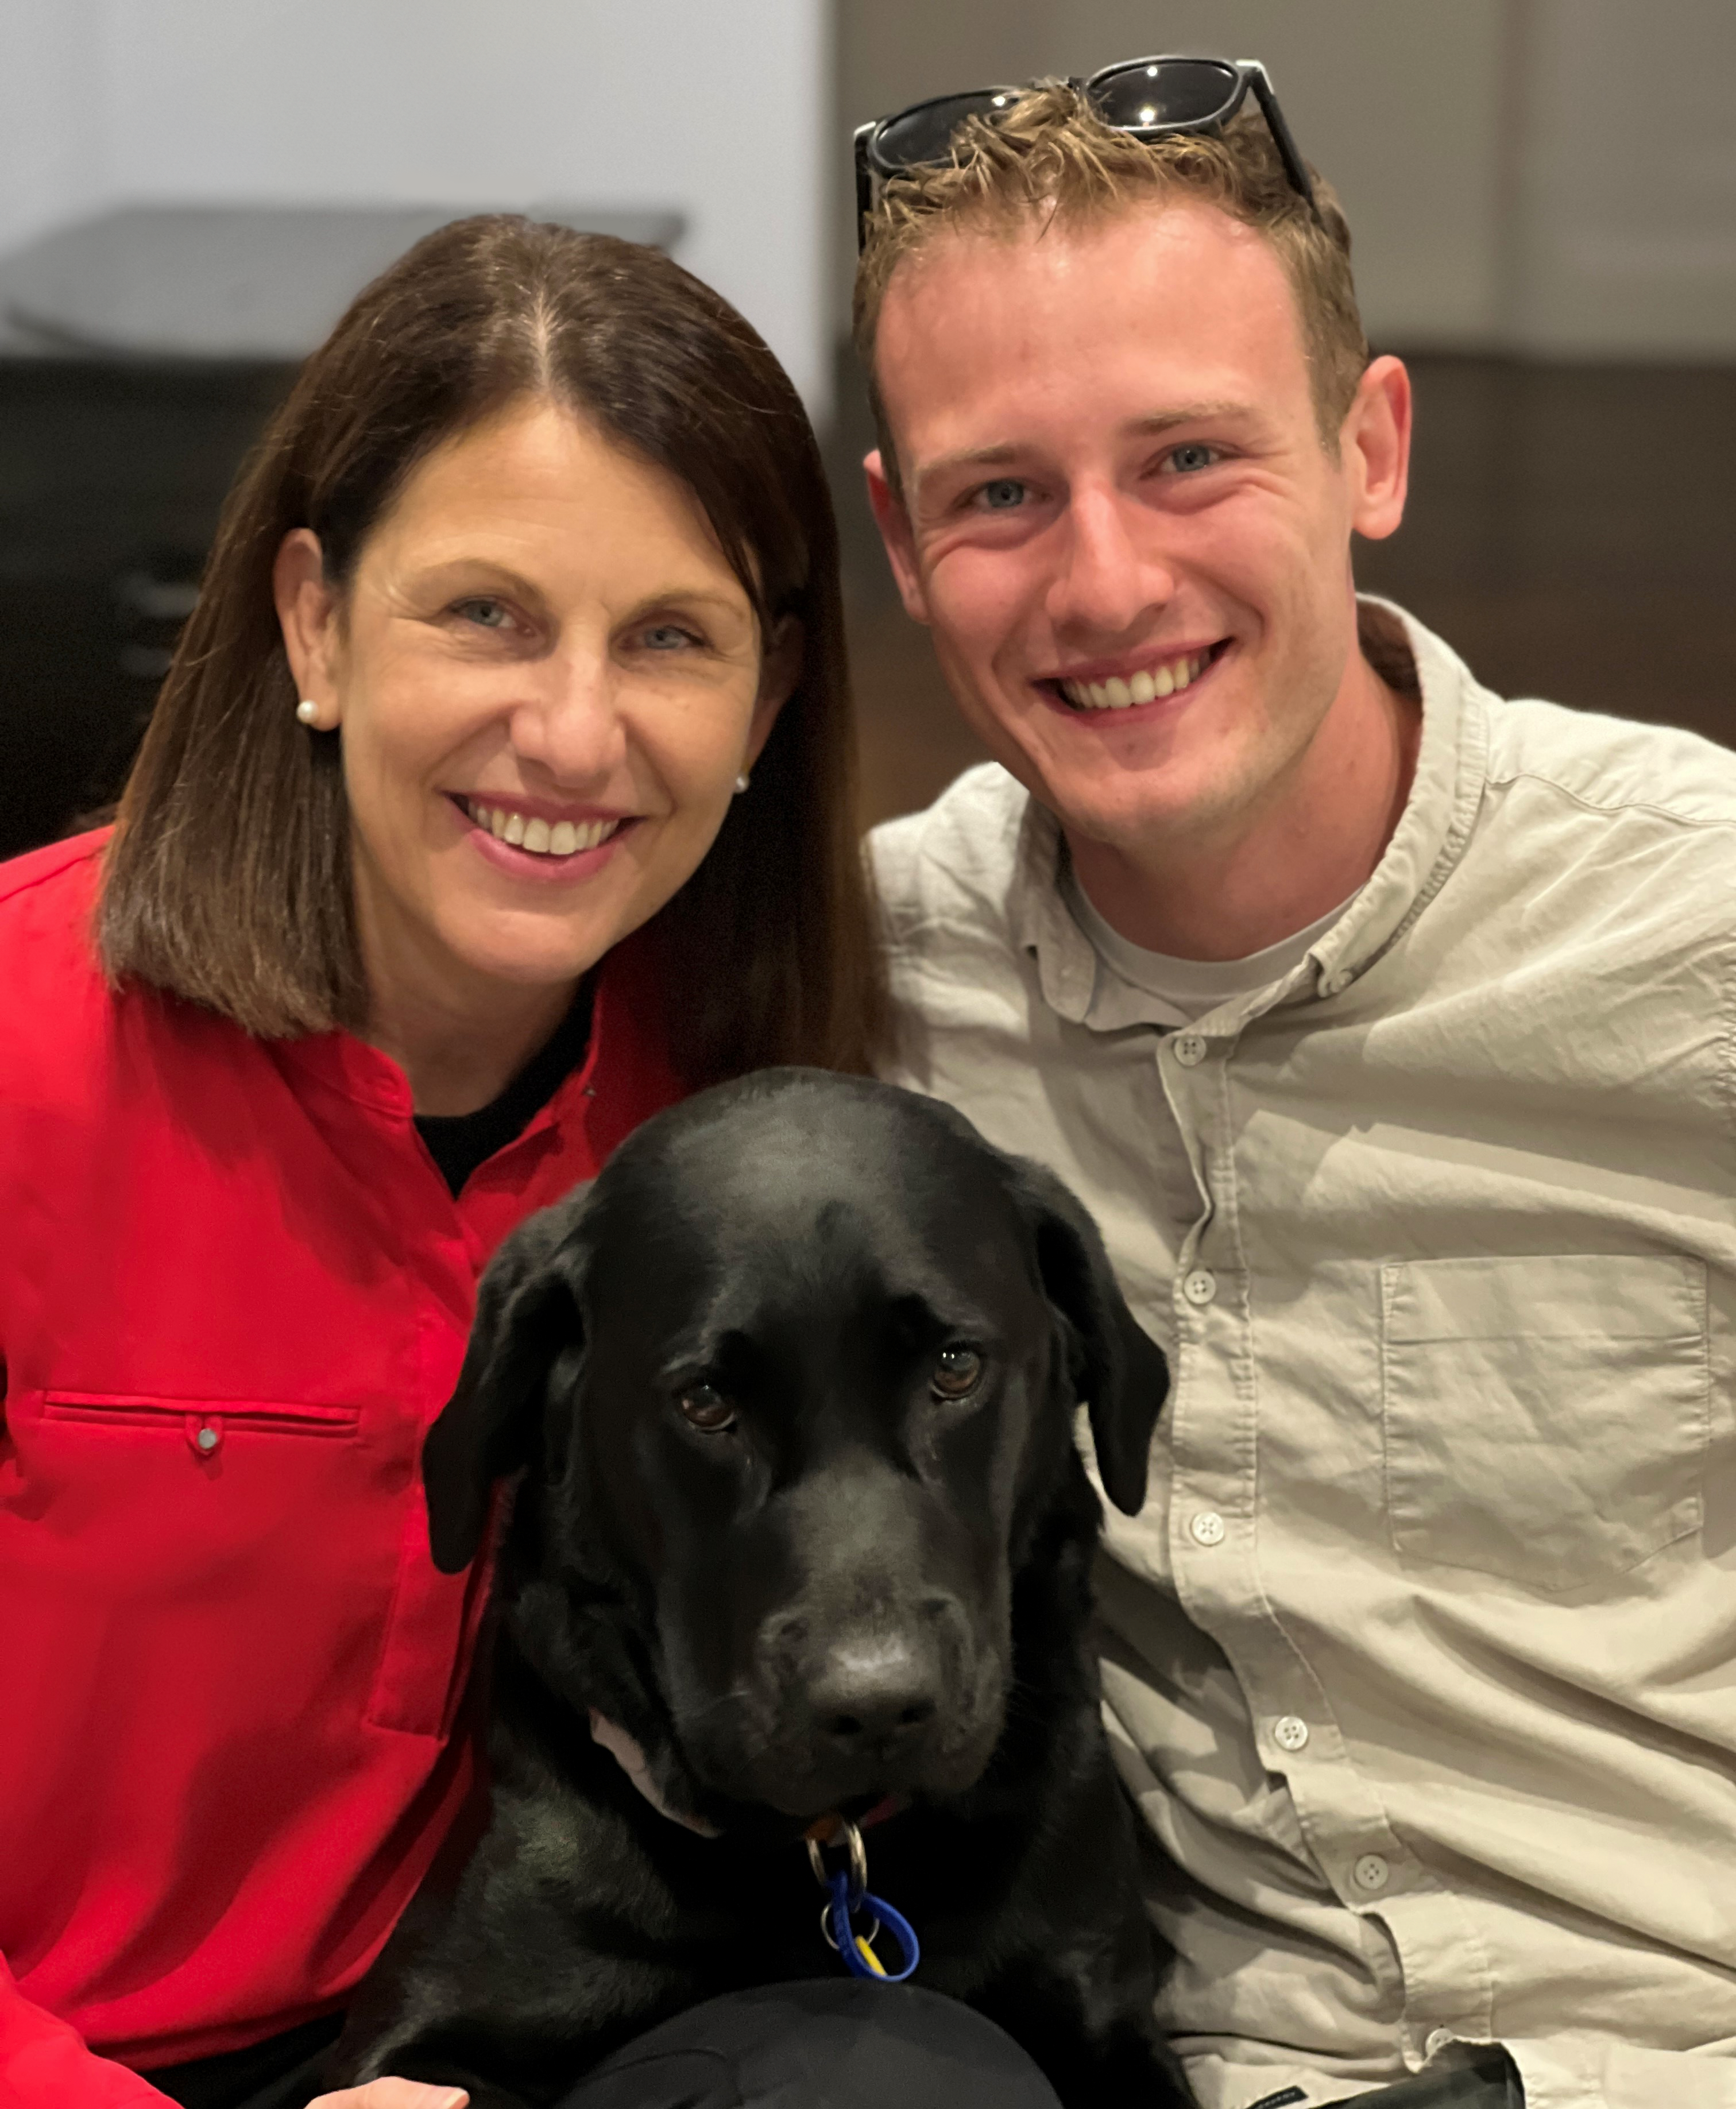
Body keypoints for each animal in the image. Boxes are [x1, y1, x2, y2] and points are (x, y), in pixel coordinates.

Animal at [333, 1071, 1189, 2109]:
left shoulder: (1104, 2013)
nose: (877, 1707)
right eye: (704, 1400)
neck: (825, 1861)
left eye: (955, 1366)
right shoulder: (424, 2030)